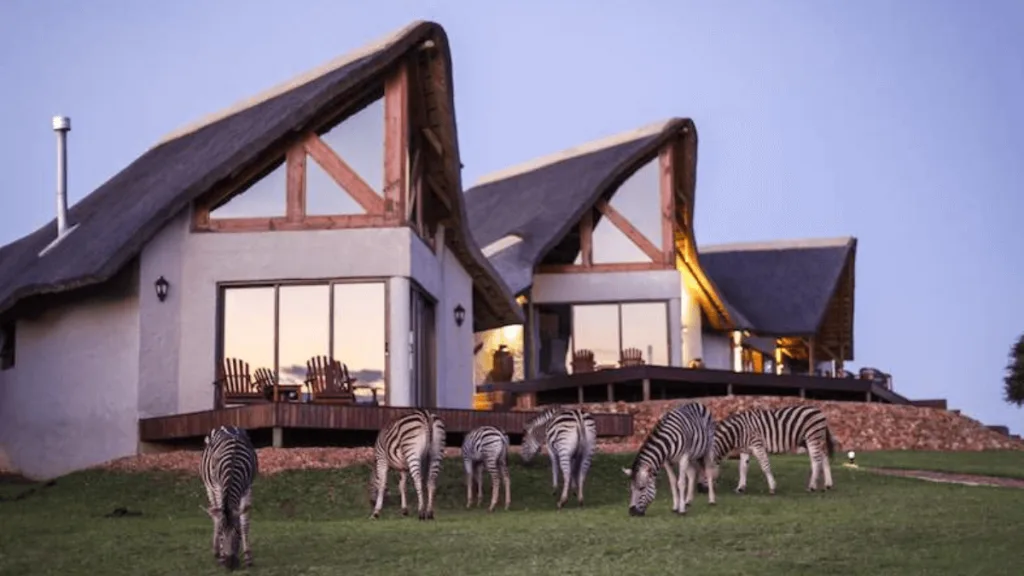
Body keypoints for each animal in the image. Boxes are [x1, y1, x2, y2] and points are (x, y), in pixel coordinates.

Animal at [200, 425, 258, 570]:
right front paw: (221, 556)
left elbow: (245, 523)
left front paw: (248, 557)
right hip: (209, 487)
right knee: (215, 515)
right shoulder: (218, 488)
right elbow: (219, 518)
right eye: (221, 535)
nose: (230, 565)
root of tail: (227, 426)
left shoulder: (247, 488)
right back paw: (216, 552)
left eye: (238, 534)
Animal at [703, 404, 836, 495]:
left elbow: (765, 465)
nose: (701, 490)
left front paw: (772, 487)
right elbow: (742, 468)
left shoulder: (757, 445)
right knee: (824, 456)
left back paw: (812, 486)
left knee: (816, 460)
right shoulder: (744, 450)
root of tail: (817, 409)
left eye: (704, 473)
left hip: (812, 437)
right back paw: (828, 484)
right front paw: (740, 488)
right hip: (806, 441)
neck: (737, 432)